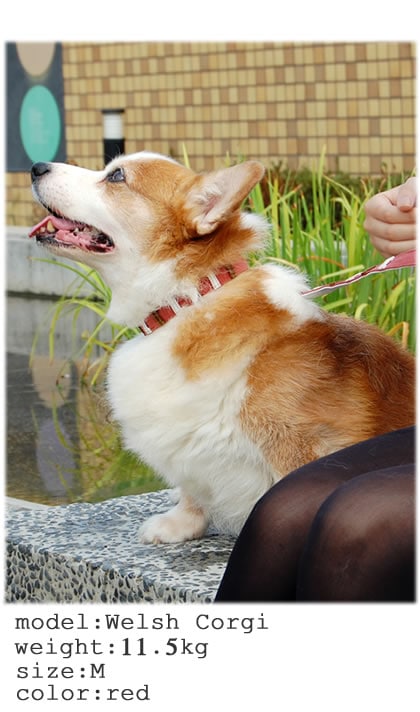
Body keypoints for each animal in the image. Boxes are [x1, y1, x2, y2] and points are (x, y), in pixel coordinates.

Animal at [30, 151, 415, 543]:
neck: (186, 301)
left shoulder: (302, 444)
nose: (37, 167)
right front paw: (179, 523)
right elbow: (192, 488)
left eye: (116, 177)